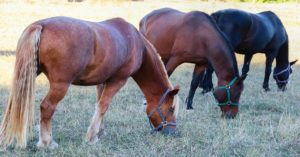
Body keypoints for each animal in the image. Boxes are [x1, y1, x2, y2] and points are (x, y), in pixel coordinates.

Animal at [0, 16, 179, 149]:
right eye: (171, 109)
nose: (172, 132)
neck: (137, 44)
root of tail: (40, 25)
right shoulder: (117, 81)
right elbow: (103, 106)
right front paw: (91, 137)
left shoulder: (103, 82)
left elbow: (99, 106)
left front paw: (99, 132)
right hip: (60, 86)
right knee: (47, 107)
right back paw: (47, 142)